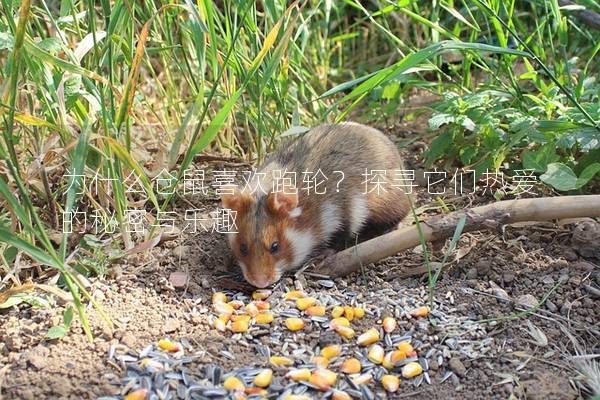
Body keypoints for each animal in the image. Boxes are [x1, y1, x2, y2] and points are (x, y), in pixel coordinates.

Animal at [220, 122, 412, 288]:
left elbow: (340, 237)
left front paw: (322, 255)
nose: (259, 283)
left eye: (275, 246)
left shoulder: (345, 213)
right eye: (243, 247)